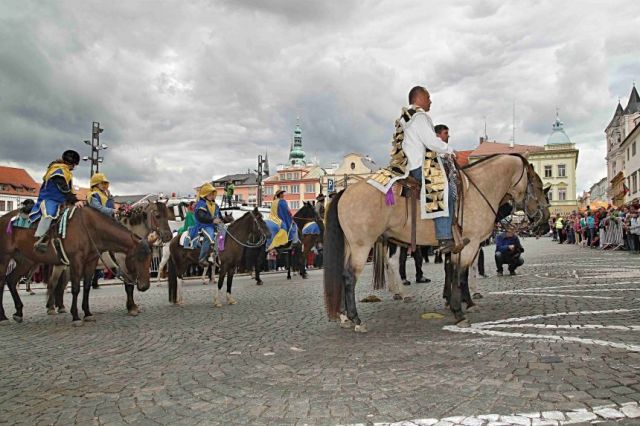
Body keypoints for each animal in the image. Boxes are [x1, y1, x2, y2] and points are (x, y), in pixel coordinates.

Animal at [0, 208, 152, 324]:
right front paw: (76, 316)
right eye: (138, 258)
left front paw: (88, 313)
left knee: (11, 280)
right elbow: (75, 288)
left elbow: (87, 287)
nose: (145, 286)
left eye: (150, 259)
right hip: (5, 258)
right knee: (3, 283)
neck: (90, 227)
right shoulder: (76, 261)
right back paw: (3, 317)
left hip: (26, 261)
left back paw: (19, 312)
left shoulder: (91, 261)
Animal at [46, 201, 174, 318]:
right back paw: (51, 308)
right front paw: (131, 308)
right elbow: (129, 286)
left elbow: (131, 285)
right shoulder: (124, 265)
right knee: (53, 283)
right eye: (157, 215)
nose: (168, 236)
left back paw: (60, 307)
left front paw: (133, 306)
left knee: (61, 286)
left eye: (167, 215)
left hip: (66, 265)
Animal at [324, 155, 552, 332]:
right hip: (363, 246)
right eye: (540, 186)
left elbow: (455, 272)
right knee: (351, 276)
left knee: (344, 274)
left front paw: (460, 303)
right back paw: (357, 318)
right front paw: (460, 312)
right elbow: (461, 275)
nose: (545, 222)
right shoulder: (471, 244)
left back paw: (344, 316)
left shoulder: (458, 247)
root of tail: (345, 191)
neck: (479, 190)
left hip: (351, 246)